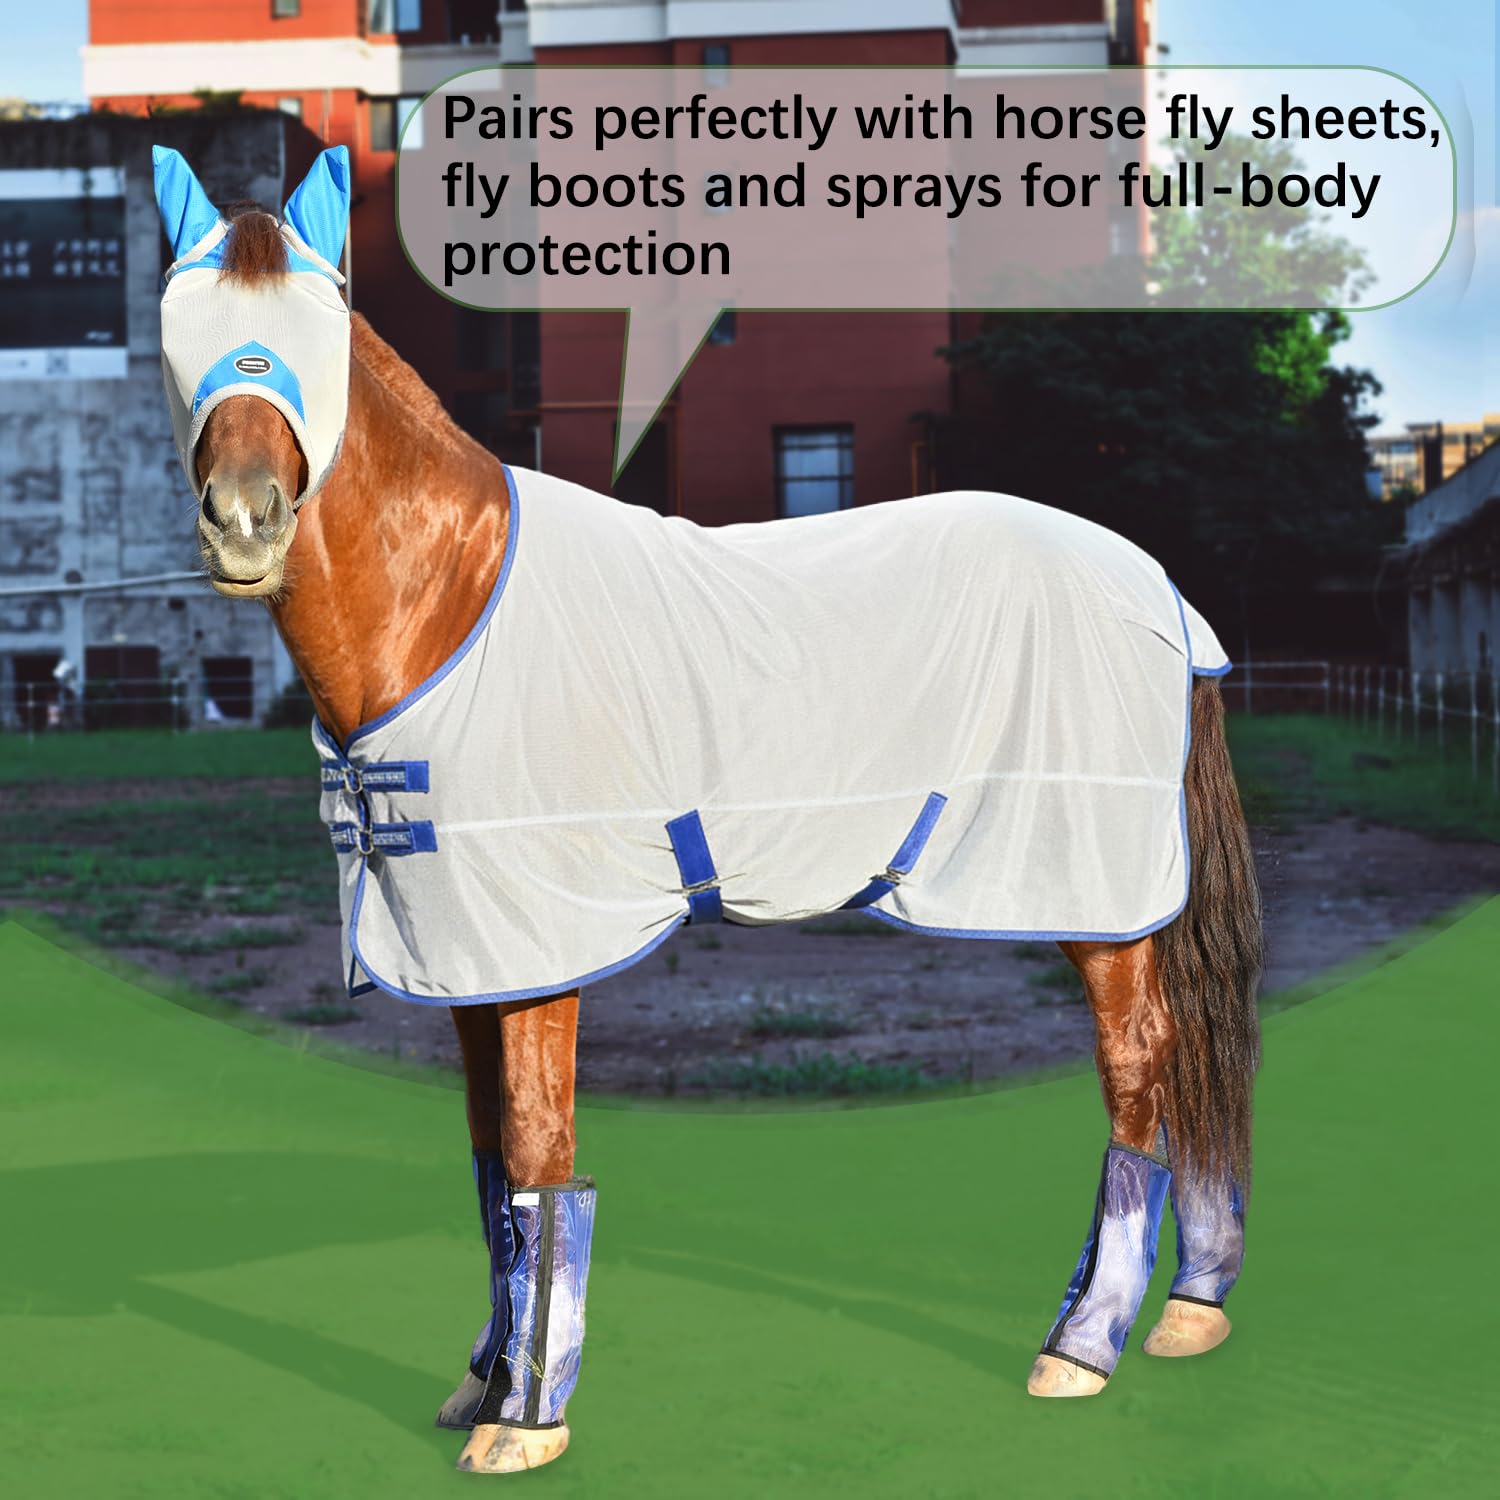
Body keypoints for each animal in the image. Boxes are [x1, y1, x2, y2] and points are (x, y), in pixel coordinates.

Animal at [153, 146, 1262, 1475]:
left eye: (317, 341)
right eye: (177, 335)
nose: (246, 519)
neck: (448, 603)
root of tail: (1155, 585)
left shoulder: (543, 952)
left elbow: (539, 1155)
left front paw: (528, 1421)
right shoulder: (467, 951)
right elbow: (488, 1162)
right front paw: (485, 1383)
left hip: (1092, 892)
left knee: (1142, 1066)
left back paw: (1082, 1344)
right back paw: (1192, 1310)